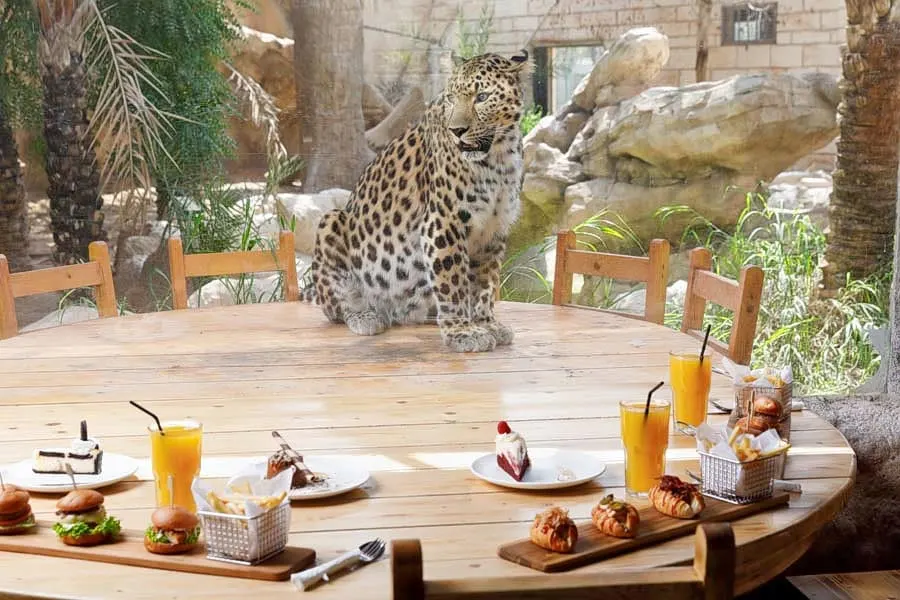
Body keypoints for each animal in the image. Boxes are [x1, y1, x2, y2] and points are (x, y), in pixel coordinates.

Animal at [301, 50, 531, 353]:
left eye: (482, 97)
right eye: (451, 98)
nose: (457, 130)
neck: (498, 157)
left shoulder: (493, 231)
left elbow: (486, 283)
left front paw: (487, 323)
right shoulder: (443, 223)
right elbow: (453, 282)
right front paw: (462, 332)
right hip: (332, 221)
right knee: (336, 307)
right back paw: (366, 316)